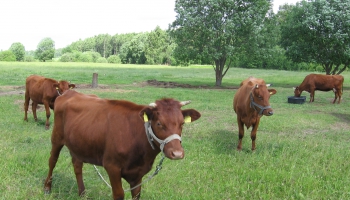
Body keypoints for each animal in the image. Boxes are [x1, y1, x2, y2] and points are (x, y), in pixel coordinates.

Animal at [43, 90, 201, 200]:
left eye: (182, 124)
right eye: (159, 123)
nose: (177, 153)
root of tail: (70, 92)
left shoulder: (138, 173)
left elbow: (136, 195)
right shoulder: (112, 166)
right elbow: (118, 194)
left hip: (78, 144)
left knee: (77, 166)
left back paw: (82, 193)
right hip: (56, 138)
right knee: (52, 161)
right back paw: (47, 187)